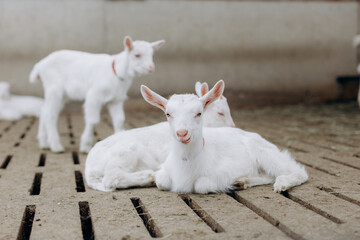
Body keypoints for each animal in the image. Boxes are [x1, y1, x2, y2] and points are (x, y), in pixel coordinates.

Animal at [30, 36, 165, 153]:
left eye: (152, 55)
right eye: (137, 55)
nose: (151, 68)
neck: (116, 73)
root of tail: (40, 65)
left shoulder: (116, 100)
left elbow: (119, 120)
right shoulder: (94, 96)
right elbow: (93, 120)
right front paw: (85, 146)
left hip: (61, 94)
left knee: (44, 110)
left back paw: (44, 143)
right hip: (54, 89)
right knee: (50, 114)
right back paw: (56, 146)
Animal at [85, 81, 235, 192]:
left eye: (199, 113)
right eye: (221, 113)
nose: (233, 127)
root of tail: (89, 169)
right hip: (125, 153)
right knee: (111, 177)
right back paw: (149, 176)